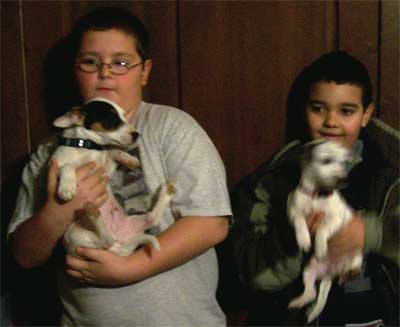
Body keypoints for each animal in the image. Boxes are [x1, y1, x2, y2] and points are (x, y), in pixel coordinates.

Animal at [52, 98, 175, 258]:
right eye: (112, 118)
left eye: (123, 115)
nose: (137, 134)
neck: (87, 146)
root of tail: (121, 244)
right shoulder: (56, 166)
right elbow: (67, 166)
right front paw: (66, 188)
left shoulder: (105, 170)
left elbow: (113, 151)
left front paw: (129, 159)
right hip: (74, 234)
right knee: (105, 242)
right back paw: (94, 215)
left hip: (133, 222)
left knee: (151, 219)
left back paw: (167, 190)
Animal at [286, 140, 360, 322]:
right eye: (326, 161)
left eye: (344, 162)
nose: (346, 179)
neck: (316, 194)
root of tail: (330, 273)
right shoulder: (293, 211)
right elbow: (299, 222)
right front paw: (304, 239)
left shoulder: (336, 218)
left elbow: (322, 228)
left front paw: (319, 247)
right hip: (308, 271)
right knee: (311, 292)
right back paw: (299, 301)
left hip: (356, 252)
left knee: (355, 264)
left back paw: (351, 272)